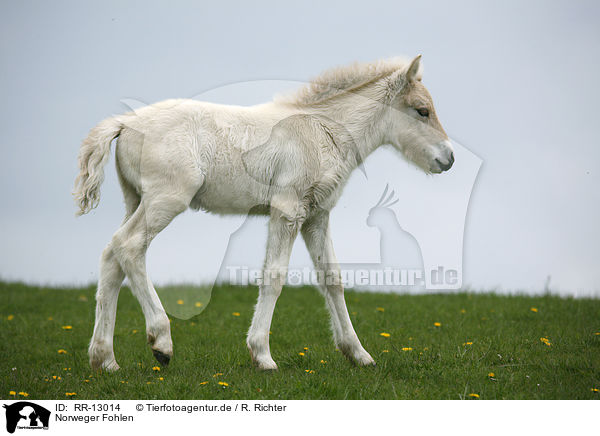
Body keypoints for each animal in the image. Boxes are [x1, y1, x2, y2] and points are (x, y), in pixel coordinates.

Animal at [74, 55, 450, 372]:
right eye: (421, 111)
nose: (448, 158)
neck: (323, 130)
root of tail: (125, 122)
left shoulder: (317, 216)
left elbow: (332, 278)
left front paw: (358, 353)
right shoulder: (287, 210)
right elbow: (274, 276)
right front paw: (262, 355)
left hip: (135, 199)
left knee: (111, 256)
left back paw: (104, 359)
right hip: (166, 200)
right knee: (129, 246)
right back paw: (161, 342)